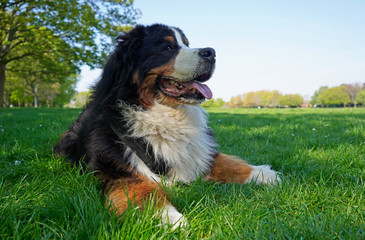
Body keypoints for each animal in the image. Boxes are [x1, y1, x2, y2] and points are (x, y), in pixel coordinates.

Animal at [53, 23, 278, 229]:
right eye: (168, 48)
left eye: (187, 44)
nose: (211, 52)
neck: (167, 115)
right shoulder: (117, 171)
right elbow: (143, 191)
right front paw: (166, 217)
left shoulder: (197, 150)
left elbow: (223, 161)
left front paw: (261, 173)